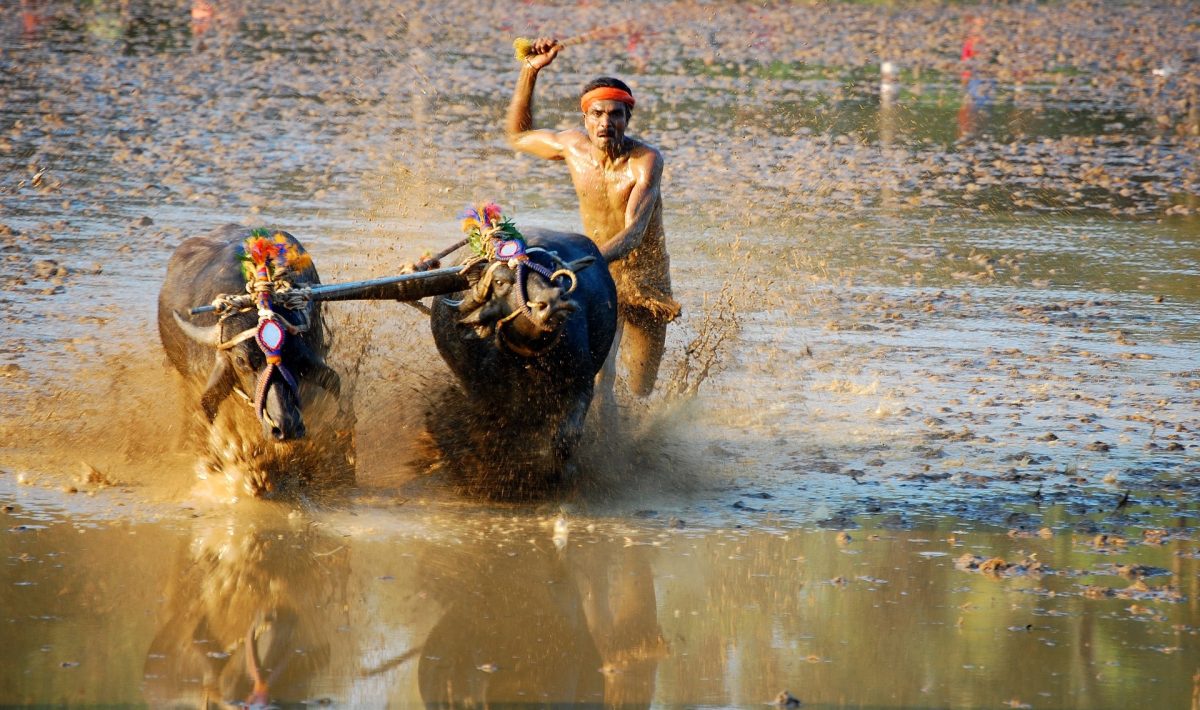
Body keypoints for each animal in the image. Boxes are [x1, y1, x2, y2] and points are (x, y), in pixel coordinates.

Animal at [429, 227, 619, 494]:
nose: (553, 302)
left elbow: (565, 437)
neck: (531, 363)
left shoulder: (580, 385)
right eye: (499, 282)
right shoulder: (484, 397)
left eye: (553, 268)